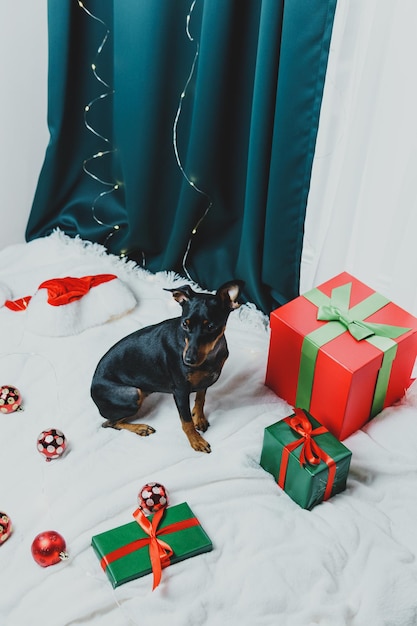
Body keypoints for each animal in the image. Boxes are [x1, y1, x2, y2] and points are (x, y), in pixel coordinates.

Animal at [89, 280, 242, 450]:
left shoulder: (204, 381)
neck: (211, 355)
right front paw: (196, 441)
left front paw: (199, 418)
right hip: (132, 394)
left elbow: (200, 399)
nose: (188, 360)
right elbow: (186, 421)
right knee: (109, 423)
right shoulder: (180, 391)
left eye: (210, 327)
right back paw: (141, 428)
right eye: (184, 324)